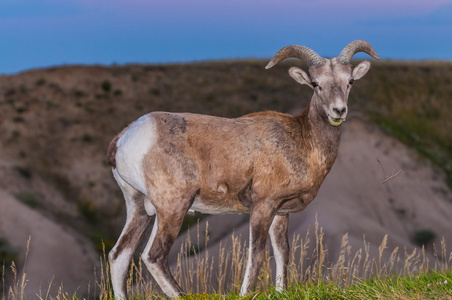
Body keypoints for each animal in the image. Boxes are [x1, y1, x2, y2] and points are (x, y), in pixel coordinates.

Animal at [107, 39, 380, 298]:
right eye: (315, 83)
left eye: (350, 81)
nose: (338, 111)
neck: (302, 140)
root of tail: (125, 138)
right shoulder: (262, 207)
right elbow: (257, 254)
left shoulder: (281, 213)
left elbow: (282, 253)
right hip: (172, 207)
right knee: (154, 256)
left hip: (140, 208)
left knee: (120, 255)